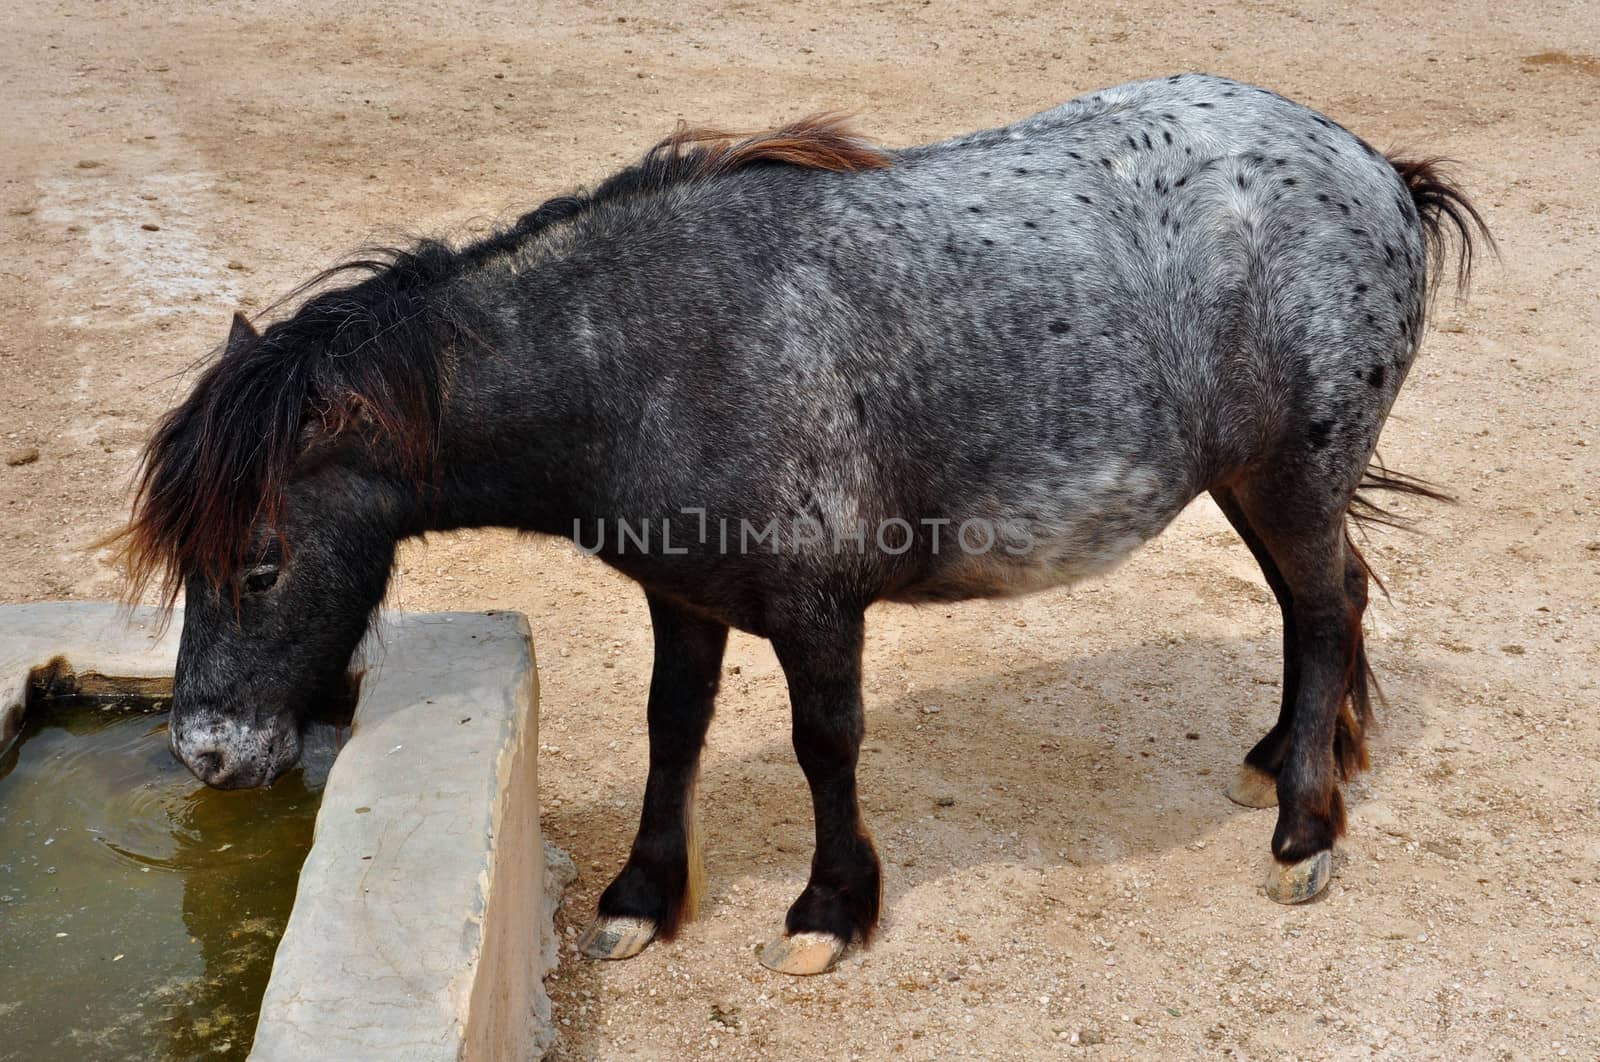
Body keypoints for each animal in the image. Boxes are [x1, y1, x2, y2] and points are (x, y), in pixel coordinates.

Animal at [109, 70, 1484, 972]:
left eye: (261, 567)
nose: (208, 754)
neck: (652, 353)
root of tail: (1375, 170)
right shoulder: (683, 600)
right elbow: (673, 732)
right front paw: (641, 898)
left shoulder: (819, 610)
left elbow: (826, 745)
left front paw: (828, 913)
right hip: (1251, 484)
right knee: (1321, 607)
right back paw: (1286, 759)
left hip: (1290, 478)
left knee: (1322, 606)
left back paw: (1304, 829)